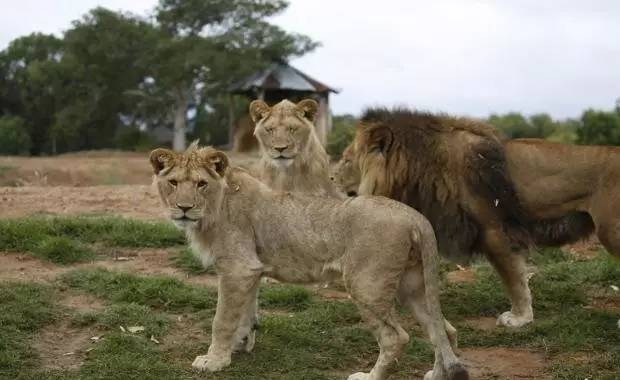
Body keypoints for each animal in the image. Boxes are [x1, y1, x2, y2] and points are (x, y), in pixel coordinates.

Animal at [151, 143, 470, 380]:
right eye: (173, 183)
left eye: (201, 184)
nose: (183, 208)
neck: (214, 208)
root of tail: (415, 216)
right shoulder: (250, 270)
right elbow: (245, 313)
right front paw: (241, 345)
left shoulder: (237, 268)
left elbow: (223, 319)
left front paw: (214, 361)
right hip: (412, 285)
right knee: (443, 330)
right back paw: (436, 374)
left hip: (367, 284)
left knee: (396, 337)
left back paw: (369, 376)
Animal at [334, 108, 620, 328]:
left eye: (347, 160)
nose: (331, 178)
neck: (417, 172)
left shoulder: (495, 232)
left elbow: (515, 280)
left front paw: (519, 318)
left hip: (611, 232)